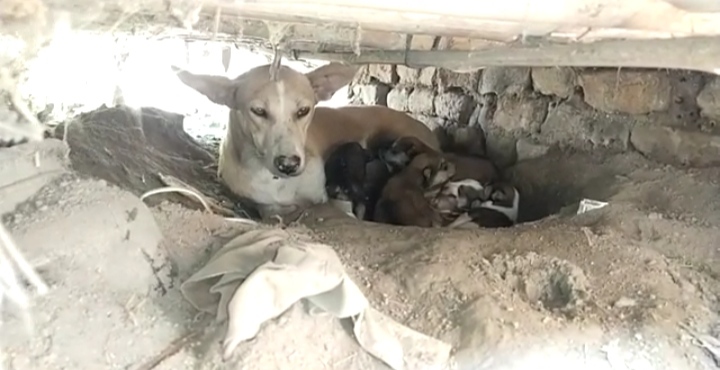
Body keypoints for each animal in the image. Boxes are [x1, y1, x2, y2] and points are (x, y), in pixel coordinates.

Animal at [171, 62, 438, 223]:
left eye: (303, 110)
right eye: (258, 111)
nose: (289, 164)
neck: (277, 183)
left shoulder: (324, 197)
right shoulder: (262, 204)